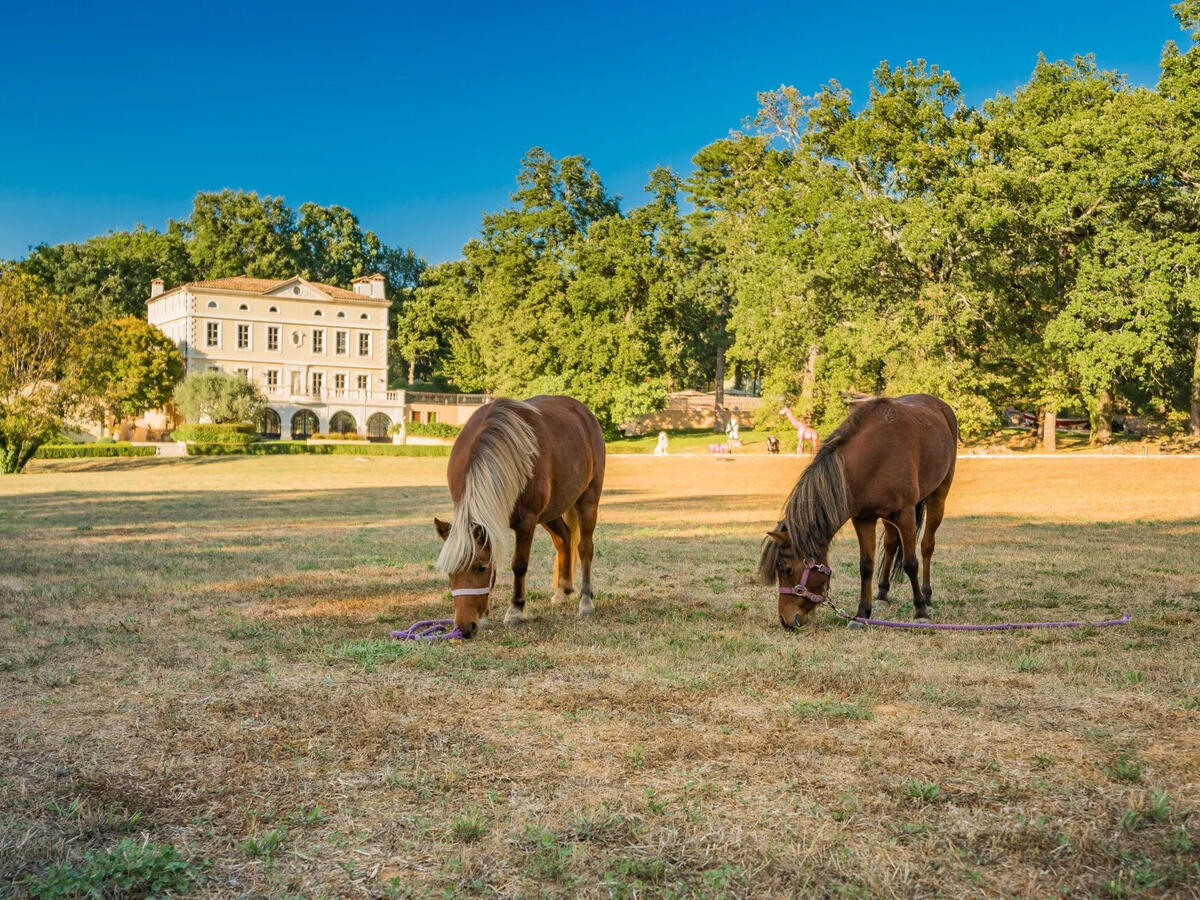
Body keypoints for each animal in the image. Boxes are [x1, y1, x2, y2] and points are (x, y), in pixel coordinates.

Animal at [432, 396, 604, 643]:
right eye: (449, 572)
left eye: (481, 568)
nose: (464, 628)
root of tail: (583, 412)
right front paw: (485, 615)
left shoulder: (527, 521)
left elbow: (519, 565)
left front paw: (516, 610)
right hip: (551, 512)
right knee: (564, 539)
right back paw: (562, 590)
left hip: (588, 498)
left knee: (585, 547)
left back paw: (586, 601)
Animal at [758, 393, 955, 628]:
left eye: (786, 568)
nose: (786, 620)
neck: (875, 458)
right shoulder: (863, 519)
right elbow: (866, 565)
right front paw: (862, 614)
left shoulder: (905, 515)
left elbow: (910, 563)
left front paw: (920, 612)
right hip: (888, 519)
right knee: (890, 545)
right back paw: (882, 595)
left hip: (938, 497)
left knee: (926, 547)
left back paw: (927, 597)